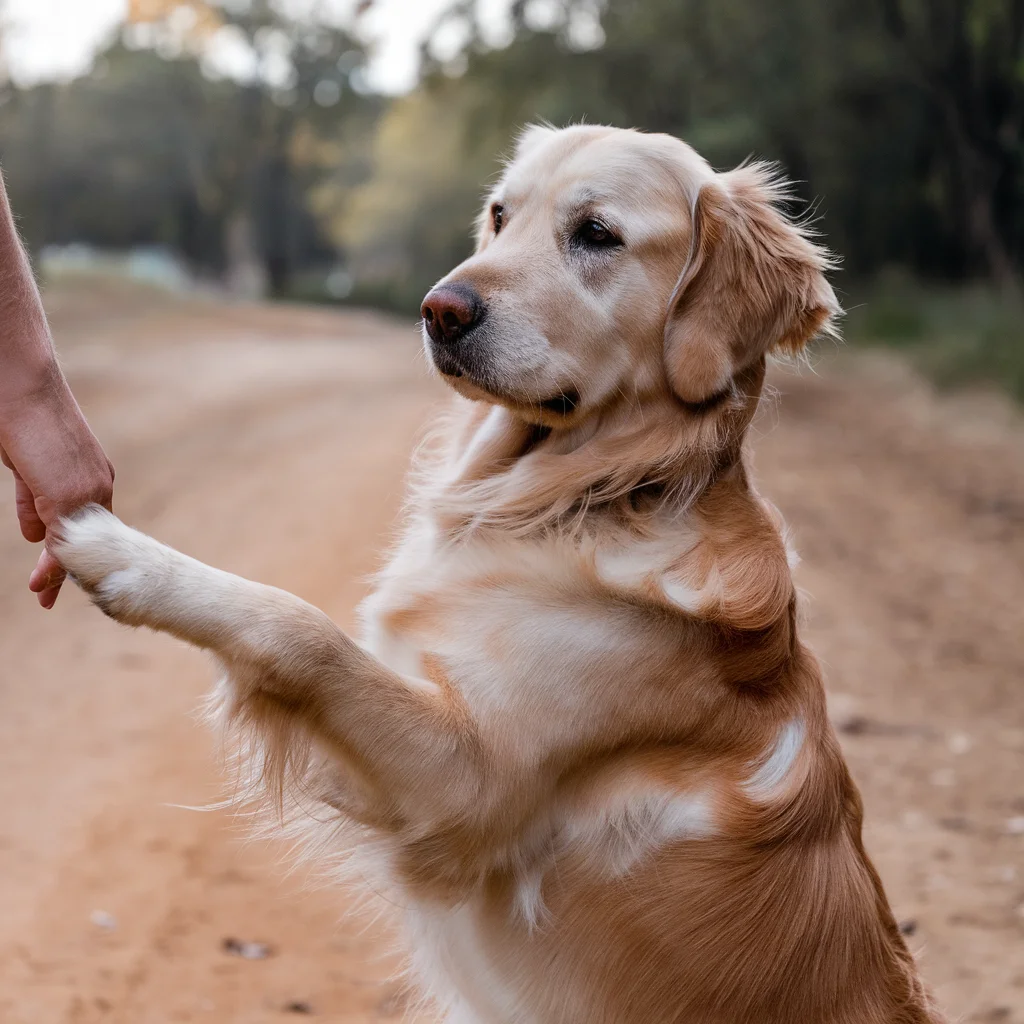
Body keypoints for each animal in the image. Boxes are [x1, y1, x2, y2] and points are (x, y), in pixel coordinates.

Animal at [51, 123, 942, 1019]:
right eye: (500, 216)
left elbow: (297, 626)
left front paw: (117, 551)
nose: (438, 309)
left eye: (597, 234)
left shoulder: (466, 782)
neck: (595, 499)